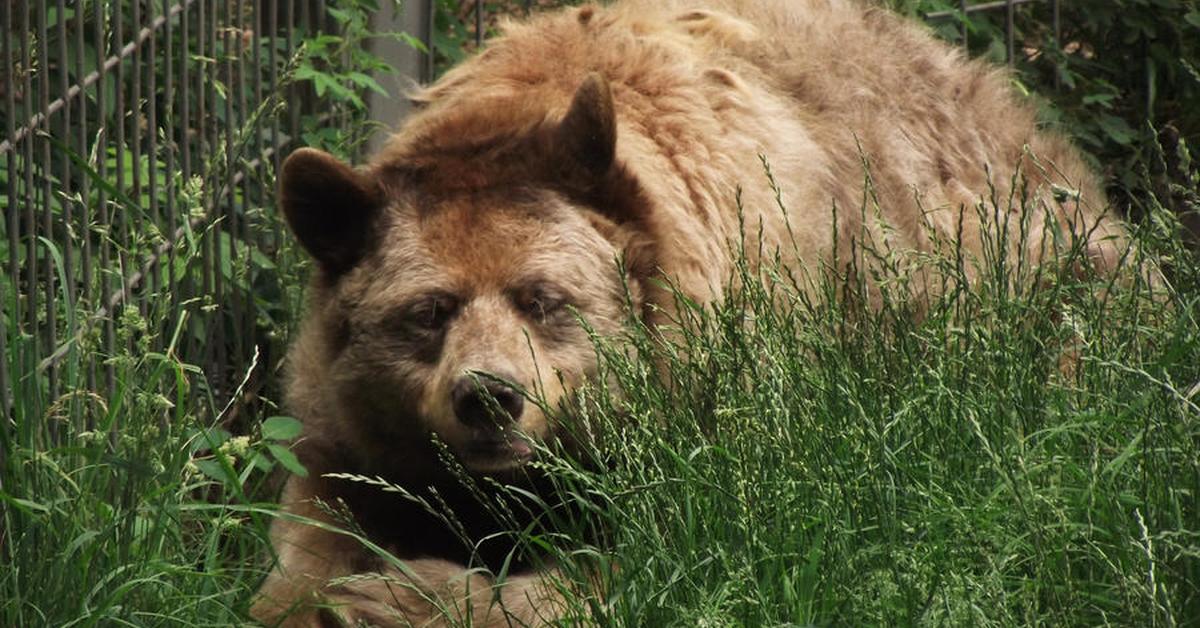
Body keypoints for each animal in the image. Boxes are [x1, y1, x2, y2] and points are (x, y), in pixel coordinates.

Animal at [248, 2, 1128, 624]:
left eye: (544, 298)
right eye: (428, 310)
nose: (490, 396)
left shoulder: (743, 387)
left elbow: (692, 546)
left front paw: (403, 595)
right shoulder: (351, 424)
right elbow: (315, 518)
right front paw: (319, 592)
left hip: (1032, 282)